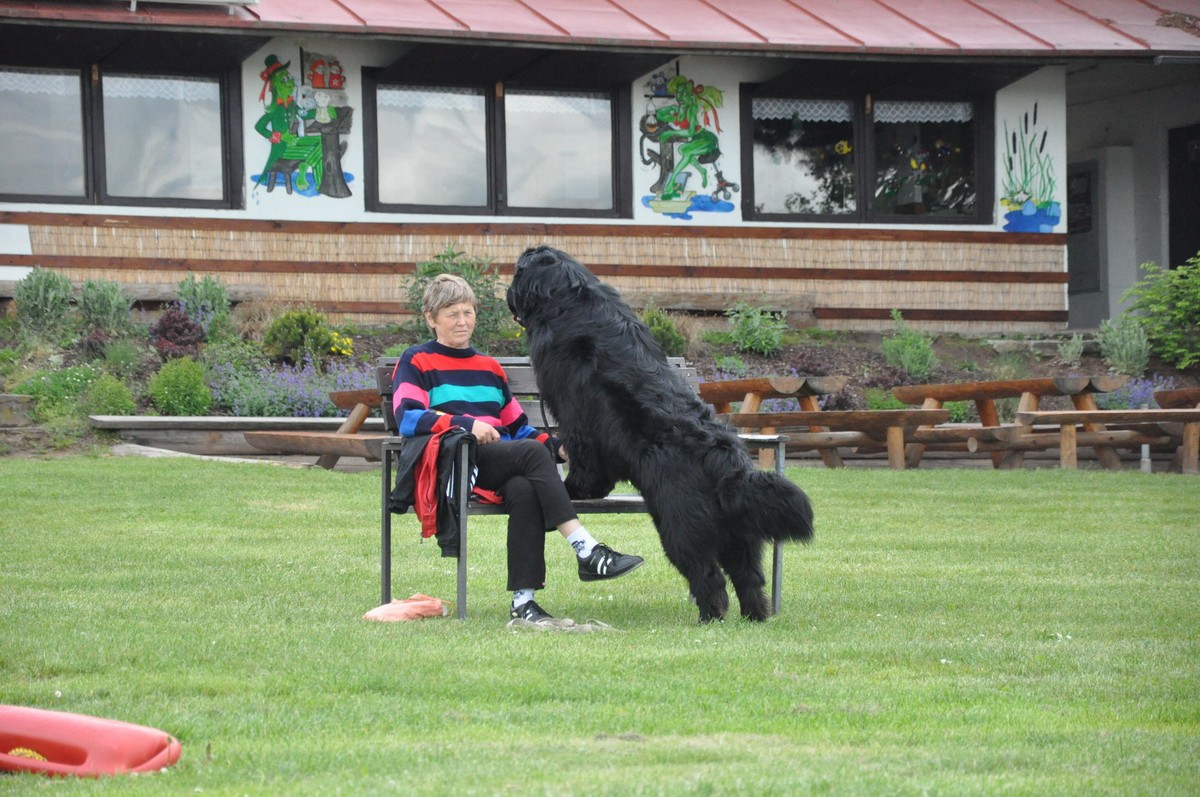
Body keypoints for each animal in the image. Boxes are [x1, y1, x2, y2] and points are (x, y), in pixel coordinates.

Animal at [507, 245, 814, 622]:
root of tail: (727, 463)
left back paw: (709, 617)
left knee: (707, 573)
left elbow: (583, 454)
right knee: (748, 575)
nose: (507, 293)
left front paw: (575, 488)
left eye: (516, 273)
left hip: (679, 523)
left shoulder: (575, 412)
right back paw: (753, 616)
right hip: (739, 531)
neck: (567, 296)